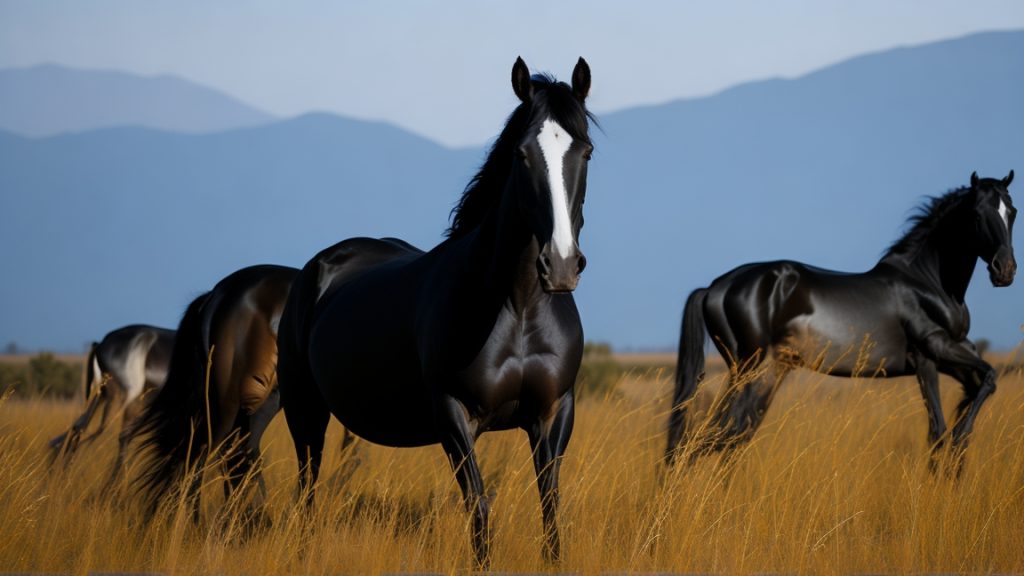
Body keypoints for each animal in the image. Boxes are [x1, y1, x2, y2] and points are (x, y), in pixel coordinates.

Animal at [276, 58, 598, 565]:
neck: (520, 307)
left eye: (585, 152)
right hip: (304, 411)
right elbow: (480, 509)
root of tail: (320, 267)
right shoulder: (453, 414)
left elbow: (550, 510)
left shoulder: (553, 412)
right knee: (306, 492)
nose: (561, 265)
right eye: (522, 155)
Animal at [663, 169, 1015, 471]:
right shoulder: (930, 355)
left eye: (1010, 211)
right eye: (977, 214)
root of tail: (714, 288)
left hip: (766, 374)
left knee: (731, 436)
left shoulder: (955, 354)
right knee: (711, 437)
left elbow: (983, 383)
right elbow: (939, 431)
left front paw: (958, 456)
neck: (928, 283)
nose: (1005, 270)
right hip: (747, 371)